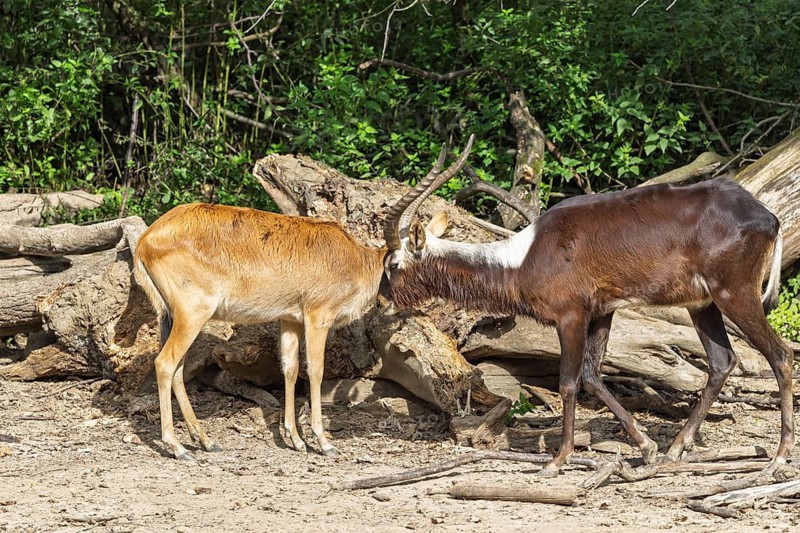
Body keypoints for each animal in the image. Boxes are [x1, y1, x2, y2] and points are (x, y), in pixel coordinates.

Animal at [132, 148, 473, 460]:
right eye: (398, 263)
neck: (355, 260)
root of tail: (146, 239)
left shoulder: (290, 320)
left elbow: (290, 369)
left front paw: (295, 440)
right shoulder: (317, 318)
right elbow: (316, 370)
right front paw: (323, 442)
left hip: (173, 317)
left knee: (177, 368)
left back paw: (205, 441)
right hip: (193, 315)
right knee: (165, 364)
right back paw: (177, 448)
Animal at [383, 134, 793, 477]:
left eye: (392, 264)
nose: (384, 301)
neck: (525, 256)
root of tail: (768, 217)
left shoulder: (570, 317)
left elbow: (568, 382)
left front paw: (558, 460)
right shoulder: (602, 313)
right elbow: (593, 376)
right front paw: (646, 447)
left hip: (735, 294)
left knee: (781, 354)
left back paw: (778, 458)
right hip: (702, 304)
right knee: (723, 361)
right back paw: (675, 449)